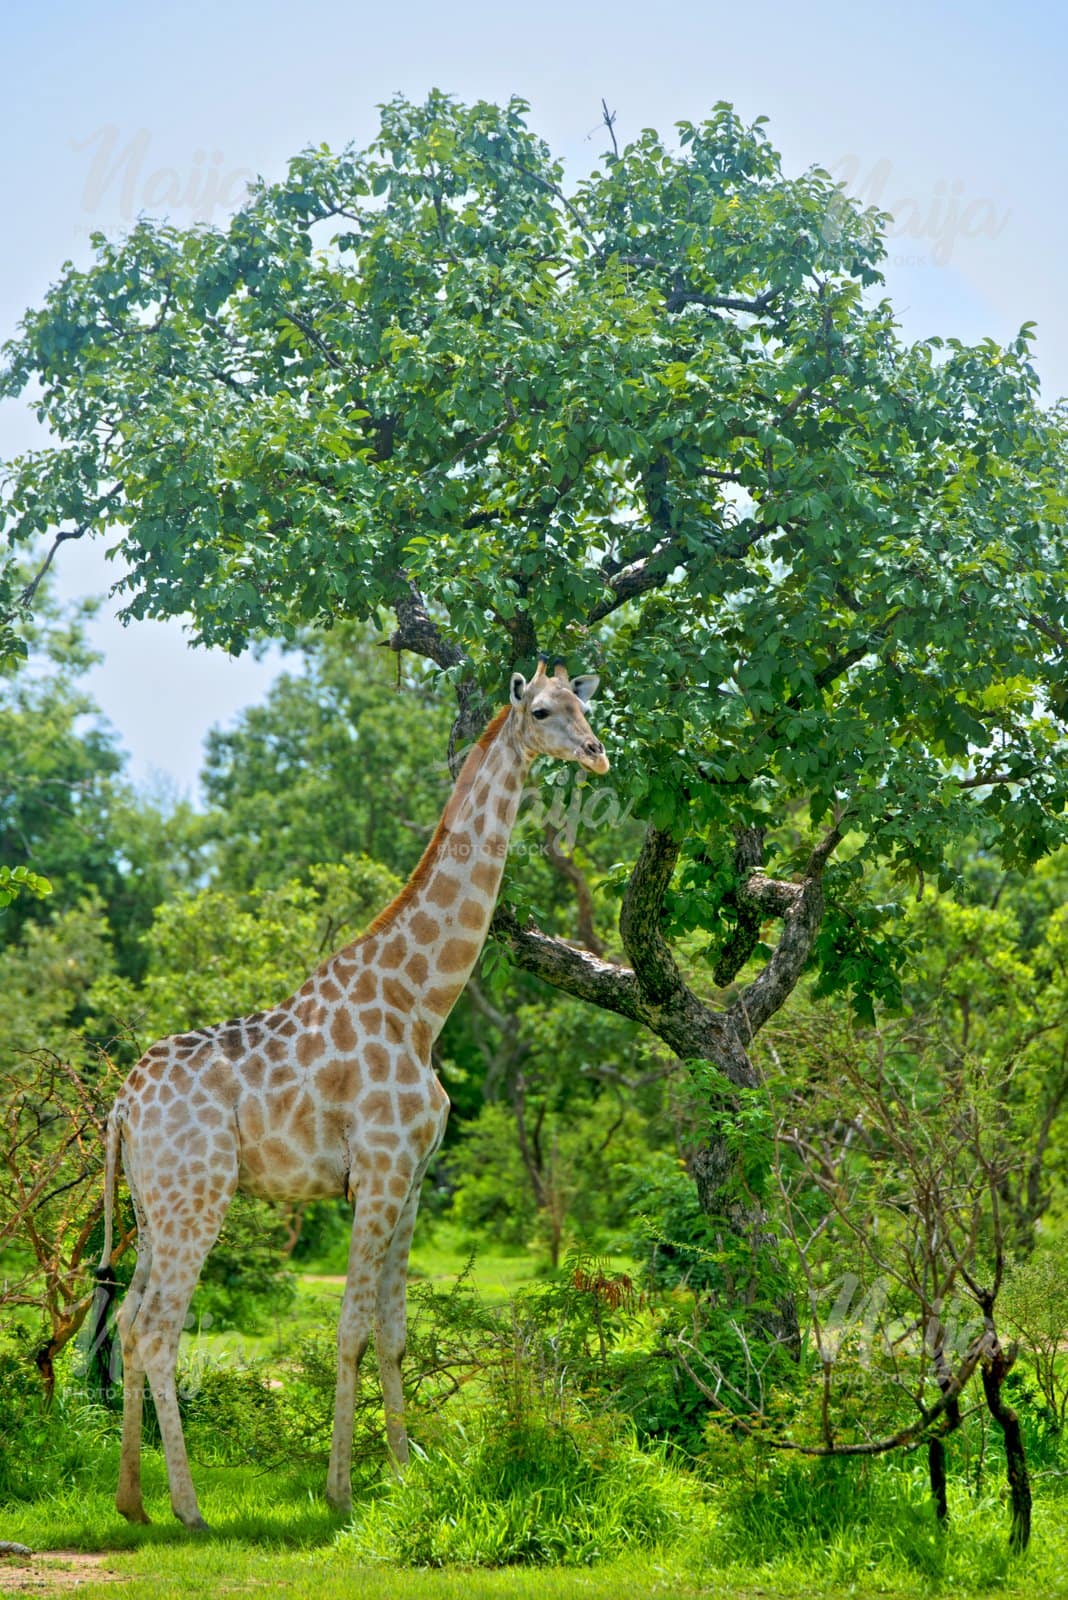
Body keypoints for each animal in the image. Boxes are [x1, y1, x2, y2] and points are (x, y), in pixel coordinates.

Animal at [94, 657, 608, 1531]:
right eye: (543, 712)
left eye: (586, 703)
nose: (599, 753)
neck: (422, 1004)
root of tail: (122, 1106)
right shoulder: (377, 1172)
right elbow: (351, 1331)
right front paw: (340, 1493)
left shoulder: (412, 1180)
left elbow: (395, 1332)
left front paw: (404, 1474)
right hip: (199, 1196)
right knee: (161, 1329)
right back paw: (190, 1510)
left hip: (152, 1203)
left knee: (129, 1322)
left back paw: (133, 1501)